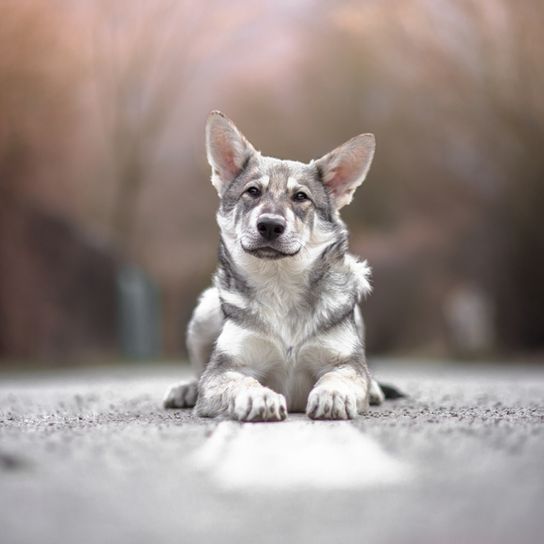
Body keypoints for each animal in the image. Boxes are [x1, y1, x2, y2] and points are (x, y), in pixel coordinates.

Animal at [164, 112, 398, 422]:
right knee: (197, 373)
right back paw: (187, 390)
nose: (270, 225)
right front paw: (259, 397)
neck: (280, 285)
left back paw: (375, 390)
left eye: (300, 197)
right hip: (204, 311)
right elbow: (241, 382)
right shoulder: (225, 370)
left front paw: (332, 395)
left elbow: (339, 377)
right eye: (252, 191)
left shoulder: (344, 362)